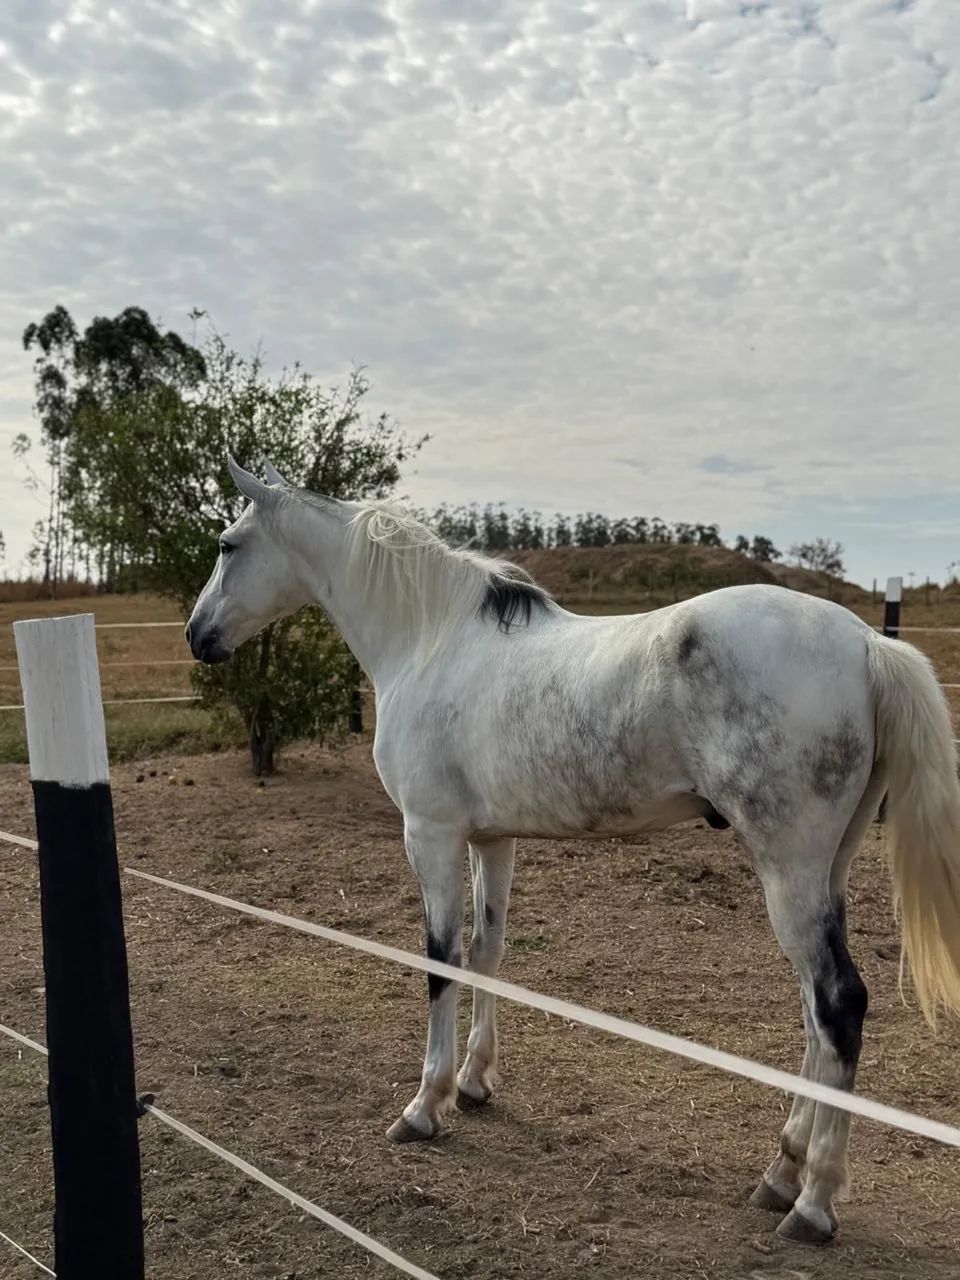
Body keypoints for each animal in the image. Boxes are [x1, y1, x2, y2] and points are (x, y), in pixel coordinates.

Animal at [186, 456, 960, 1245]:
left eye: (227, 545)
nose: (197, 635)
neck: (431, 641)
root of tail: (866, 642)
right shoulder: (490, 840)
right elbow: (486, 954)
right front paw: (473, 1084)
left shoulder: (429, 834)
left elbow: (440, 960)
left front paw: (425, 1105)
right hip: (824, 871)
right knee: (816, 1015)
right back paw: (781, 1174)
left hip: (789, 870)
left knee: (838, 1003)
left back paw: (813, 1203)